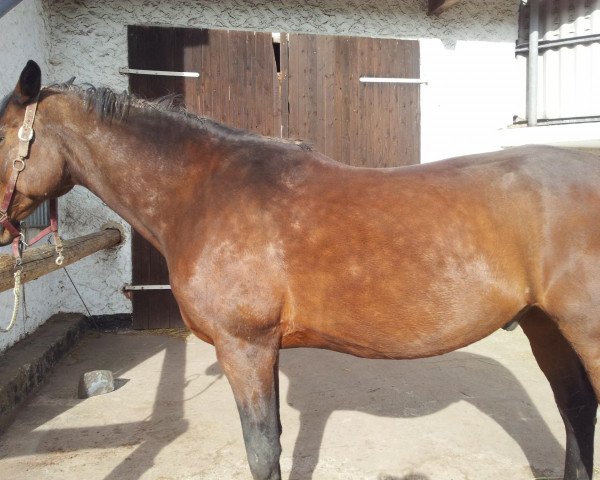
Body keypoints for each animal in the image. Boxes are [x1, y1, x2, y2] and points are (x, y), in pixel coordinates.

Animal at [1, 60, 600, 480]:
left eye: (1, 136)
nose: (2, 230)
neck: (203, 194)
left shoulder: (246, 347)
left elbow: (263, 452)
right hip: (546, 327)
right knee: (576, 409)